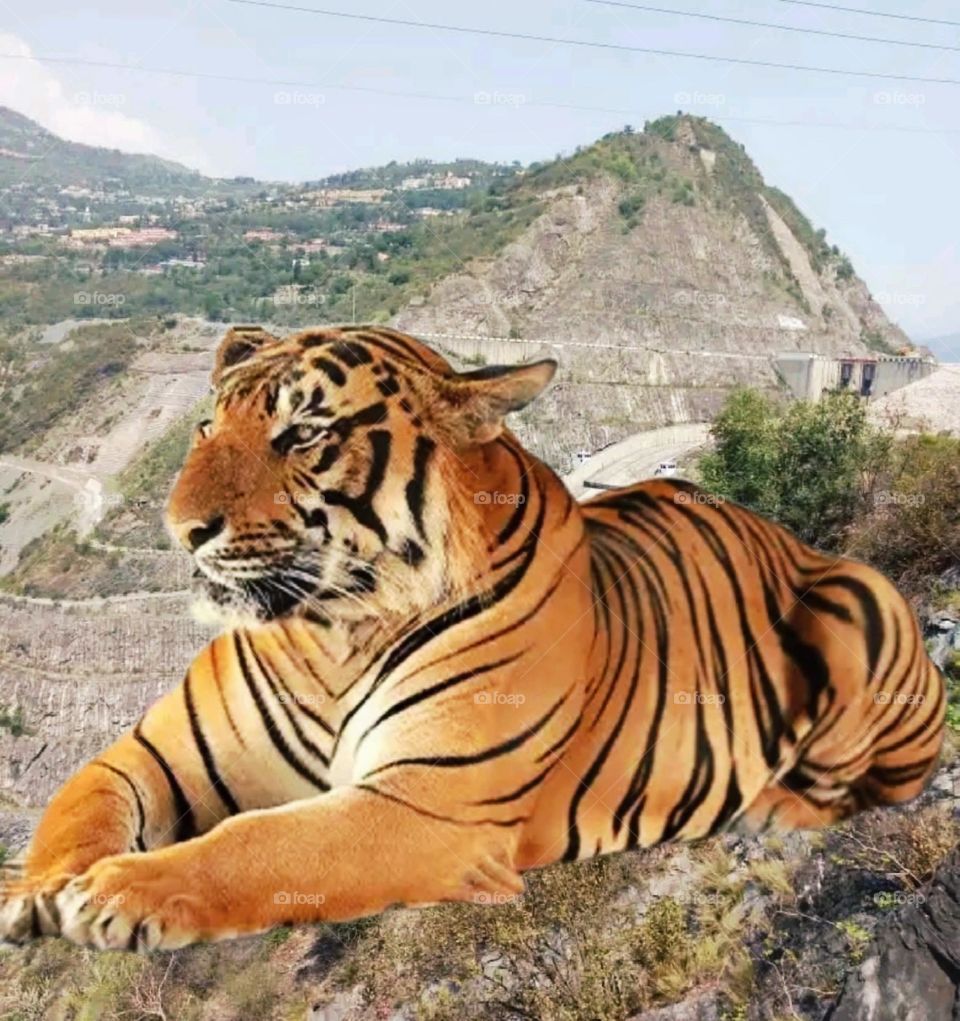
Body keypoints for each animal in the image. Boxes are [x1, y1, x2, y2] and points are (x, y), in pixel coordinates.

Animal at [0, 323, 944, 952]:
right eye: (206, 428)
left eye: (302, 434)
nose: (180, 528)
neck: (335, 630)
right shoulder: (151, 753)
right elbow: (81, 803)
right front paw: (36, 888)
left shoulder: (426, 803)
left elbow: (260, 843)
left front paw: (120, 892)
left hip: (861, 606)